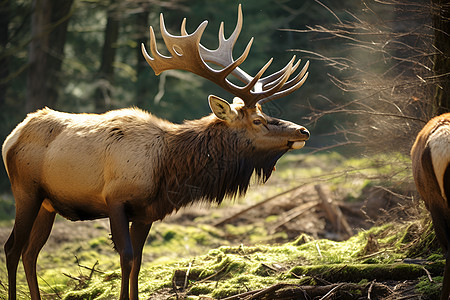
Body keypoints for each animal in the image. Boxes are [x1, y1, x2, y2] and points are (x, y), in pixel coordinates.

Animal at [1, 5, 310, 300]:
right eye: (257, 120)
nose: (302, 131)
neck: (167, 169)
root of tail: (11, 138)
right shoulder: (115, 199)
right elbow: (126, 258)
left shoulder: (146, 212)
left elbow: (138, 262)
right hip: (25, 191)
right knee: (12, 247)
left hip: (47, 204)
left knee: (31, 252)